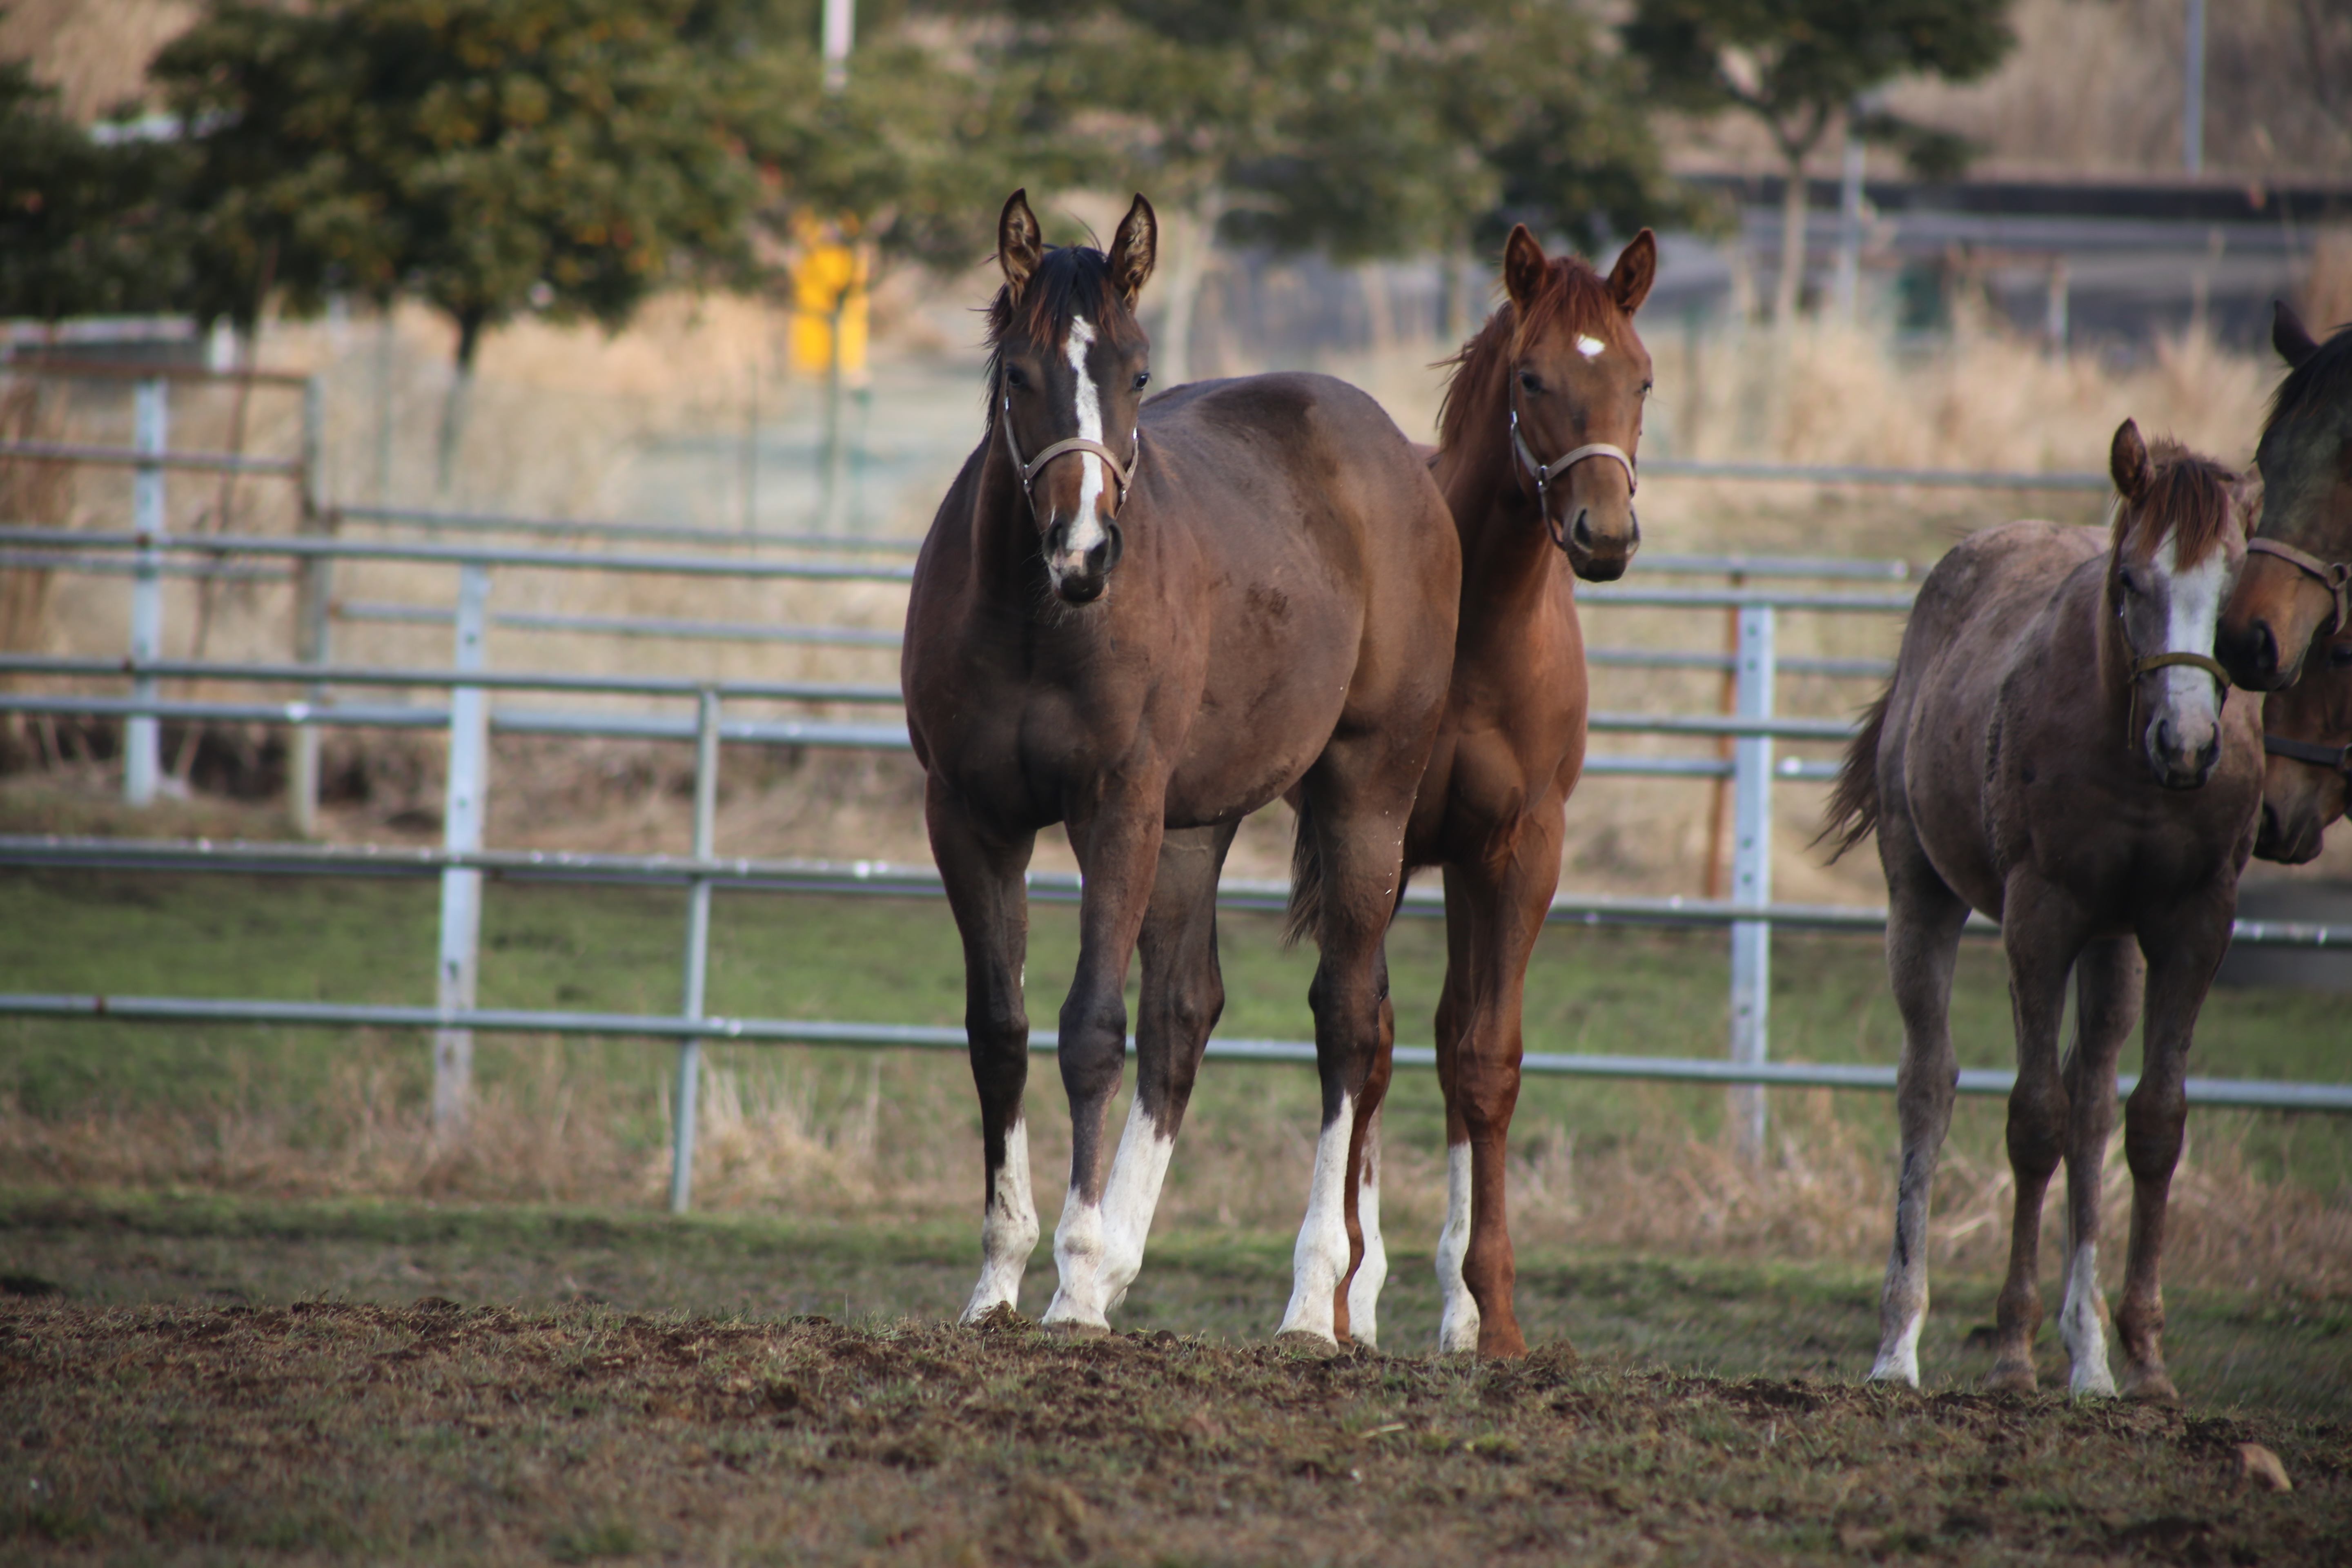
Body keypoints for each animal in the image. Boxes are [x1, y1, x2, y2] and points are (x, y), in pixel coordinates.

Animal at [908, 190, 1458, 1335]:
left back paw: (1311, 1301)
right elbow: (1000, 1030)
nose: (1084, 550)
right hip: (1197, 823)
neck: (1035, 619)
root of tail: (1394, 455)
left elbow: (1088, 1027)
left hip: (1365, 795)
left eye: (1139, 372)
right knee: (1184, 1015)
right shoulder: (970, 818)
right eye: (1018, 374)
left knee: (1349, 1021)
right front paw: (1002, 1283)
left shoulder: (1114, 808)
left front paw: (1071, 1275)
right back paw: (1124, 1261)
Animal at [1279, 227, 1646, 1354]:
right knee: (1387, 1044)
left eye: (1640, 378)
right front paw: (1341, 1295)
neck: (1476, 627)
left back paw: (1447, 1302)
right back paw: (1358, 1292)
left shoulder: (1520, 850)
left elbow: (1485, 1059)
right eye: (1532, 377)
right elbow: (1373, 1046)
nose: (1604, 532)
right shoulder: (1379, 837)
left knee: (1445, 1038)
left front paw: (1494, 1318)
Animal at [1815, 423, 2258, 1401]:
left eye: (2235, 582)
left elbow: (2154, 1121)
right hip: (1922, 896)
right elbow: (2032, 1119)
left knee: (2095, 1104)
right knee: (1929, 1086)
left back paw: (2089, 1357)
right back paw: (1898, 1345)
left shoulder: (2193, 924)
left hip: (2112, 945)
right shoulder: (2039, 915)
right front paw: (2013, 1351)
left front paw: (2144, 1358)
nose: (2187, 745)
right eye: (2130, 580)